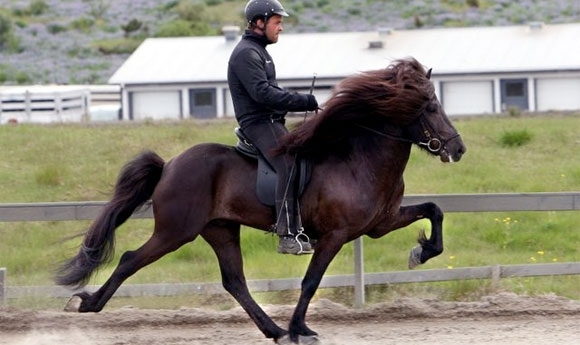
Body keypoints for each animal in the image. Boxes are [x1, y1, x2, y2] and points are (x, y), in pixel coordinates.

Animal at [56, 57, 466, 342]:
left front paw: (421, 252)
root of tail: (170, 165)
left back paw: (274, 330)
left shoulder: (381, 223)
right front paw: (301, 328)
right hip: (176, 232)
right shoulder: (335, 236)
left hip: (220, 229)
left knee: (234, 281)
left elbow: (435, 211)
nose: (457, 149)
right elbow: (311, 281)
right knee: (130, 259)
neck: (359, 160)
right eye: (431, 107)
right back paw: (86, 303)